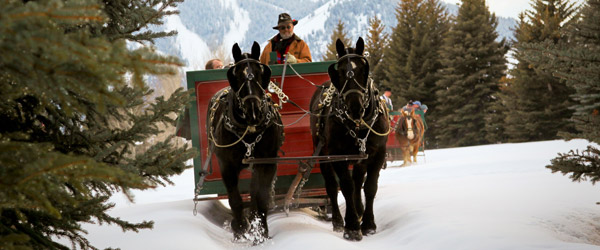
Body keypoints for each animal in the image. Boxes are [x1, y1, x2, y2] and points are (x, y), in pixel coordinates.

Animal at [206, 42, 284, 243]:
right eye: (238, 75)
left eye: (259, 72)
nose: (253, 110)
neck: (248, 131)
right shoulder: (226, 165)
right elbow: (235, 199)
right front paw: (240, 228)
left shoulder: (267, 163)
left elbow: (261, 197)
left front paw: (261, 231)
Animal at [310, 37, 390, 240]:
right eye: (338, 72)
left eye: (363, 69)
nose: (355, 107)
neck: (358, 123)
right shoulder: (337, 155)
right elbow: (346, 187)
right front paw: (352, 227)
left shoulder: (378, 154)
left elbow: (369, 187)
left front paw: (368, 224)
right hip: (322, 153)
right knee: (332, 186)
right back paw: (339, 221)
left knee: (358, 180)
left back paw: (359, 210)